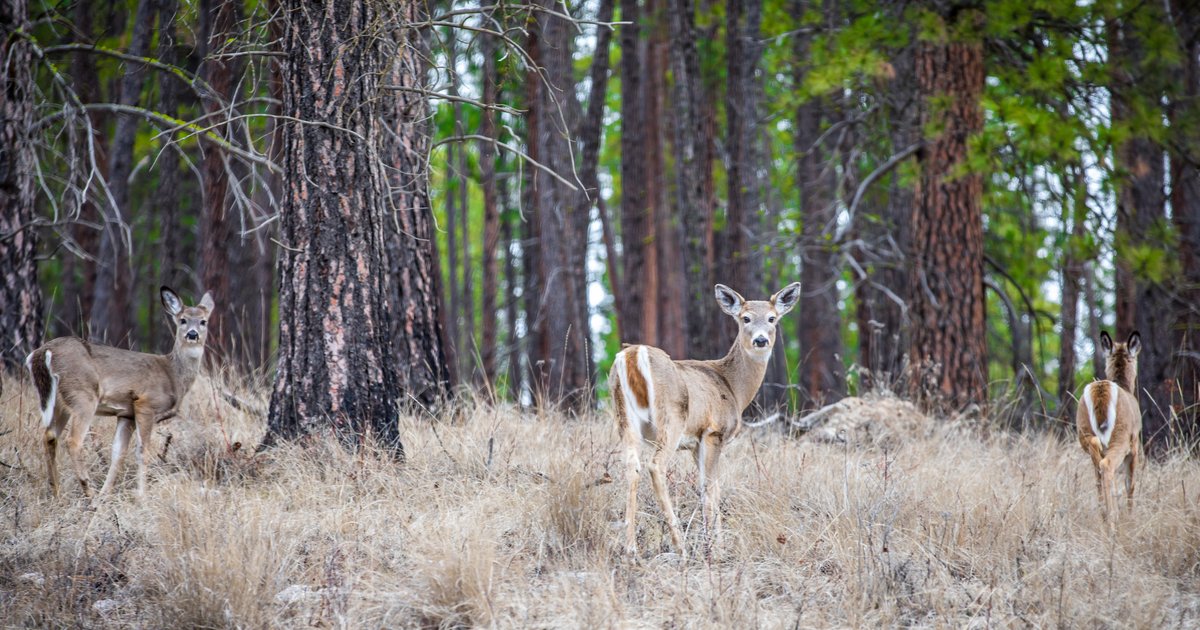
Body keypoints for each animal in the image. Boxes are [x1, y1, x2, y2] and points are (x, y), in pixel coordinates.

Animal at [25, 287, 214, 501]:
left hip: (60, 402)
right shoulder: (145, 403)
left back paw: (57, 492)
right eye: (182, 320)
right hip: (83, 395)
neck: (173, 375)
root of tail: (42, 353)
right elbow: (142, 451)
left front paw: (106, 494)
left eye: (203, 321)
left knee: (49, 436)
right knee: (73, 441)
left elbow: (118, 453)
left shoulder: (126, 414)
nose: (192, 334)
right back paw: (88, 492)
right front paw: (142, 495)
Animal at [609, 282, 801, 557]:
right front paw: (715, 548)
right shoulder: (714, 432)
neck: (733, 387)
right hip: (672, 416)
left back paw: (631, 548)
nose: (761, 340)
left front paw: (717, 542)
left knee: (631, 466)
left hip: (624, 416)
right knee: (656, 466)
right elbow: (710, 486)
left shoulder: (695, 443)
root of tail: (634, 355)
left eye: (772, 318)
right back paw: (680, 546)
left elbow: (712, 486)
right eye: (745, 318)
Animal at [1076, 330, 1142, 521]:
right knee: (1107, 466)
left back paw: (1105, 515)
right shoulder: (1135, 444)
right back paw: (1112, 517)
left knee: (1098, 469)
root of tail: (1100, 390)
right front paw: (1131, 517)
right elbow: (1130, 483)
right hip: (1121, 436)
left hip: (1083, 429)